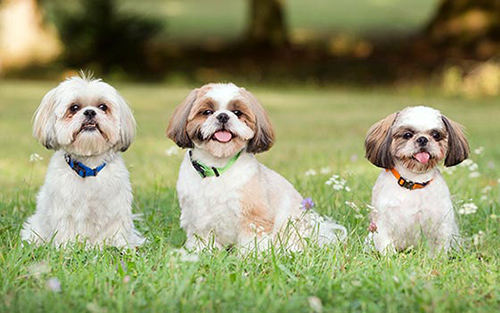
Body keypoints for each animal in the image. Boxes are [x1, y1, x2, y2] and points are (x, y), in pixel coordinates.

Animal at [22, 75, 146, 246]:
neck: (88, 167)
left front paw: (114, 246)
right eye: (74, 108)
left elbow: (113, 231)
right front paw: (69, 248)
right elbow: (67, 232)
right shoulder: (65, 212)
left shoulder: (115, 209)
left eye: (103, 106)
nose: (90, 112)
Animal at [166, 82, 346, 251]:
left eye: (237, 112)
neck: (217, 168)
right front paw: (202, 252)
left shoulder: (254, 216)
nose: (223, 116)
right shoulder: (198, 219)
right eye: (207, 112)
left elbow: (253, 241)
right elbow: (202, 239)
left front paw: (252, 255)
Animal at [364, 106, 468, 252]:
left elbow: (439, 249)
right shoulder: (383, 223)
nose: (423, 139)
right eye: (407, 135)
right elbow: (387, 247)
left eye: (436, 134)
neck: (414, 182)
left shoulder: (441, 223)